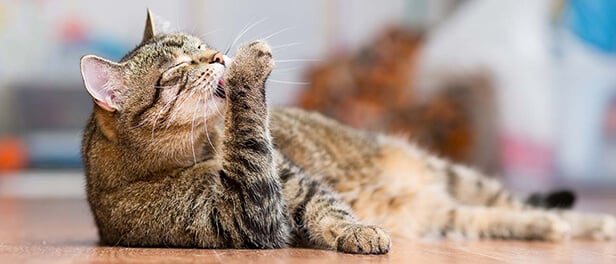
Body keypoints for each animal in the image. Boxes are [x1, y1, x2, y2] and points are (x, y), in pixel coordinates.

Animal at [80, 10, 612, 256]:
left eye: (202, 47)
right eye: (178, 69)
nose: (218, 57)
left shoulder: (295, 181)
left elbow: (330, 207)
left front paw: (358, 230)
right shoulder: (246, 213)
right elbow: (252, 142)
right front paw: (249, 70)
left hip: (457, 177)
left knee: (515, 203)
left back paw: (588, 224)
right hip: (449, 215)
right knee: (494, 216)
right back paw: (552, 226)